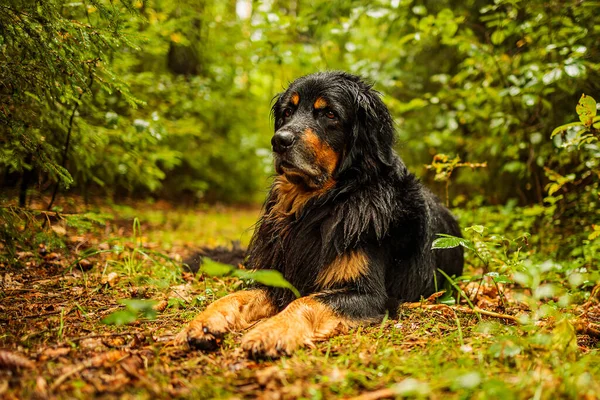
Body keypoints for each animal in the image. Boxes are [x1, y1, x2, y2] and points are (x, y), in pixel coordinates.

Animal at [176, 72, 462, 360]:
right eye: (288, 112)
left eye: (330, 114)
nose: (279, 140)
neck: (320, 206)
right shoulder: (279, 273)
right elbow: (237, 295)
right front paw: (204, 321)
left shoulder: (370, 295)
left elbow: (308, 301)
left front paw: (271, 330)